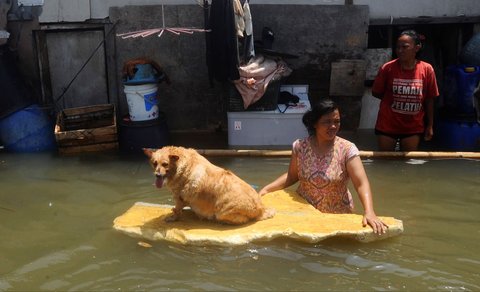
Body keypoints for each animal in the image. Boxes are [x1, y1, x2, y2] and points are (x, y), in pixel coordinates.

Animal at [143, 147, 274, 225]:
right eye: (154, 163)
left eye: (165, 164)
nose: (157, 175)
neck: (182, 166)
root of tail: (261, 208)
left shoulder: (179, 197)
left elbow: (177, 210)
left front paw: (173, 217)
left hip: (222, 212)